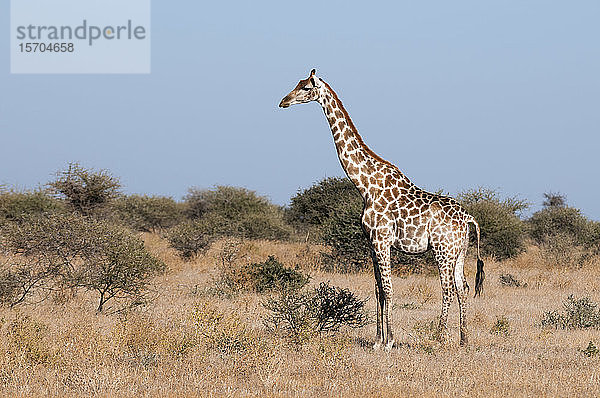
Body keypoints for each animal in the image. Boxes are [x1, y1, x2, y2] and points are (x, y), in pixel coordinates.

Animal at [280, 70, 482, 350]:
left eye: (306, 87)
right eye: (297, 84)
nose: (283, 102)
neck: (365, 184)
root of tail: (468, 218)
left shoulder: (382, 240)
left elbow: (388, 288)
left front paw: (390, 341)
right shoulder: (371, 241)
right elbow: (377, 289)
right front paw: (377, 340)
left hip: (443, 251)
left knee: (447, 289)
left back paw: (440, 339)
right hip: (459, 252)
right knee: (462, 288)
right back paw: (463, 339)